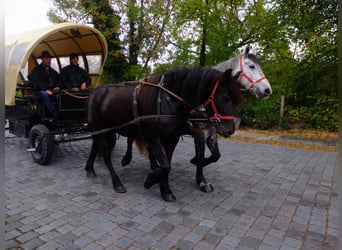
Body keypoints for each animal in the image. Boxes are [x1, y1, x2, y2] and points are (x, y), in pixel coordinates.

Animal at [84, 66, 242, 201]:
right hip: (101, 128)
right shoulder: (159, 137)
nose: (229, 130)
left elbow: (170, 163)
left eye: (235, 100)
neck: (169, 100)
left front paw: (165, 189)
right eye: (225, 96)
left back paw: (90, 169)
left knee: (98, 146)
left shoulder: (174, 138)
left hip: (107, 129)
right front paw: (151, 180)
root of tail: (95, 92)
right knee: (106, 155)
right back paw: (117, 182)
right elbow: (166, 165)